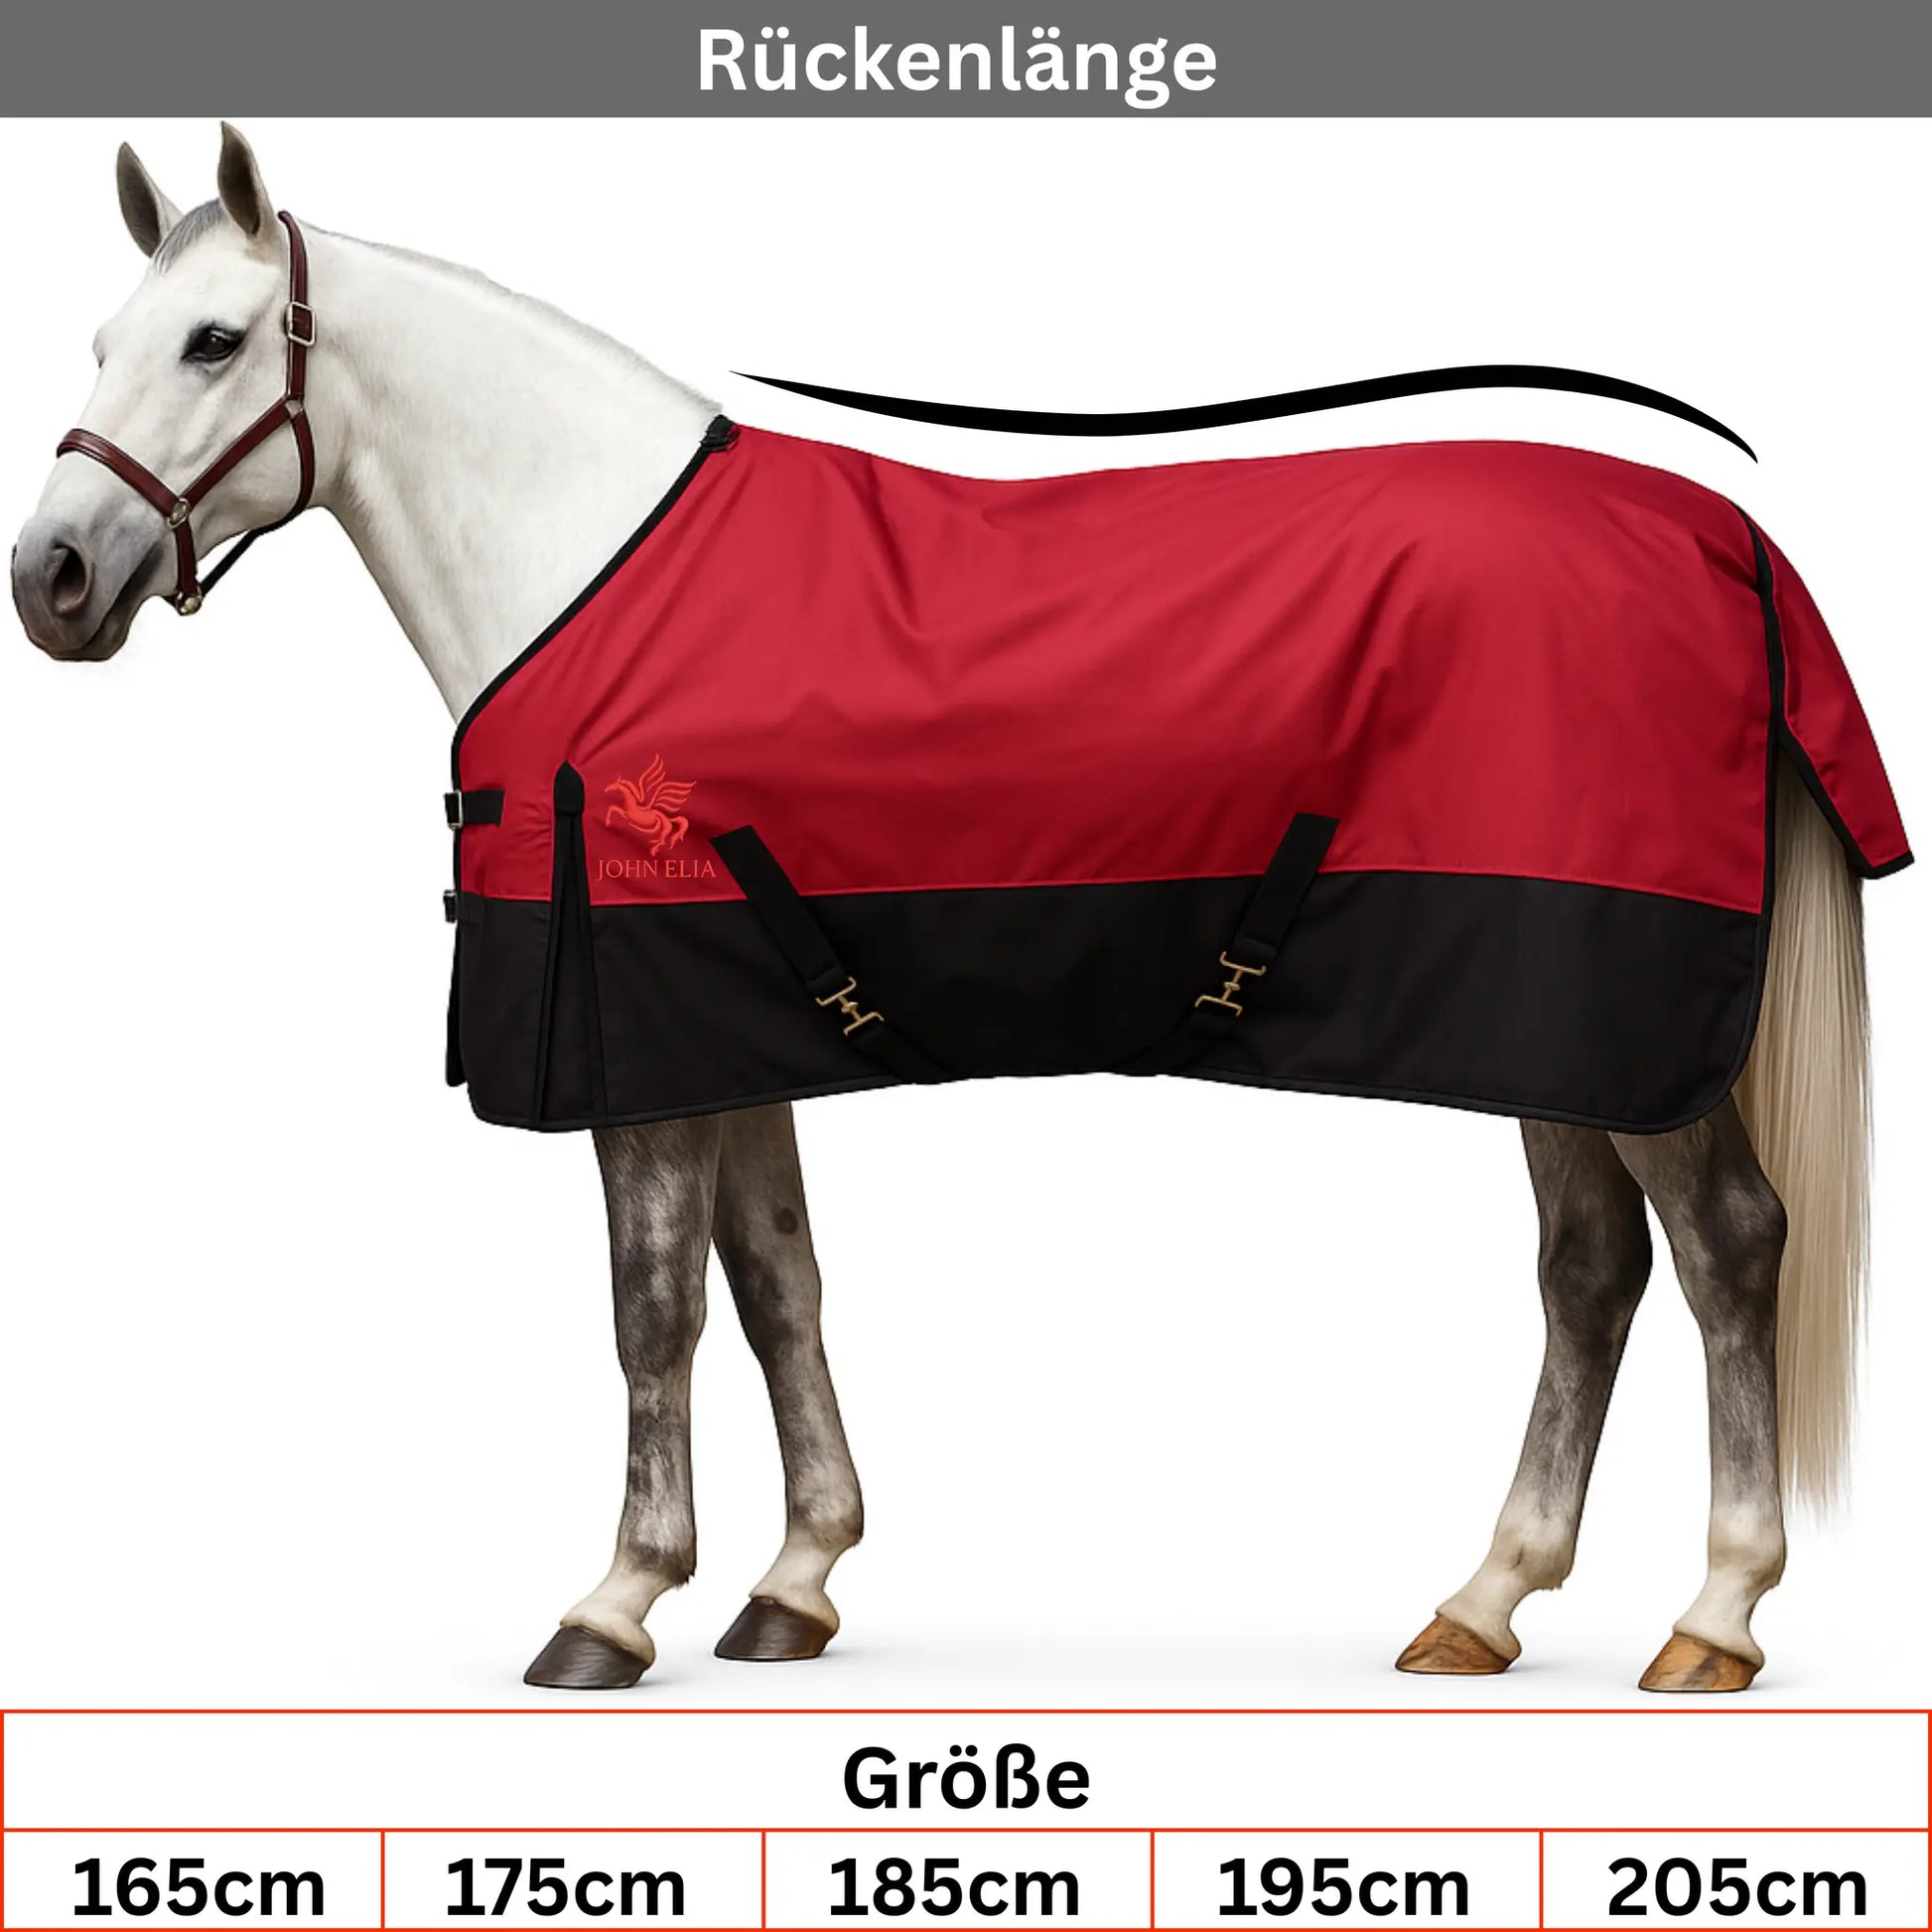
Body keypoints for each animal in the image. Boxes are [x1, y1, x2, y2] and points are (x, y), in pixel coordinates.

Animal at [11, 125, 1878, 1693]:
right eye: (101, 337)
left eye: (212, 342)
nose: (54, 579)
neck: (590, 560)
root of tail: (1726, 543)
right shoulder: (731, 1024)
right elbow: (776, 1283)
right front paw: (793, 1582)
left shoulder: (644, 1039)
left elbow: (652, 1309)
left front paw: (614, 1603)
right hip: (1547, 1017)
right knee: (1589, 1268)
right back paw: (1483, 1600)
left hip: (1612, 1006)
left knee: (1726, 1247)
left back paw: (1713, 1615)